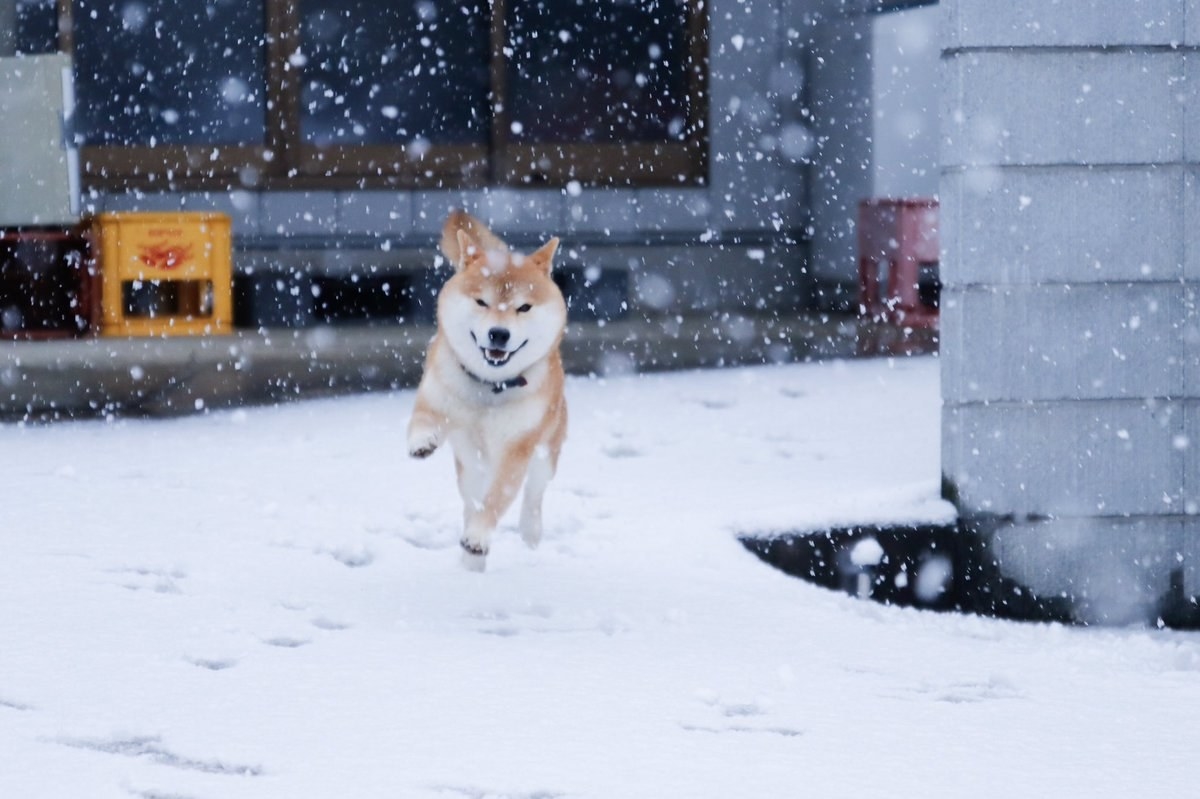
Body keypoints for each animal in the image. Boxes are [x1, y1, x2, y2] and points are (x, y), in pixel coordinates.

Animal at [408, 208, 566, 568]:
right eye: (481, 302)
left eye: (524, 307)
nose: (499, 334)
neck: (489, 388)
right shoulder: (435, 393)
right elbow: (422, 418)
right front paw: (422, 442)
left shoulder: (517, 448)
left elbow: (496, 501)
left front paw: (479, 538)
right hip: (470, 466)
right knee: (471, 500)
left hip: (547, 450)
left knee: (534, 493)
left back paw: (527, 532)